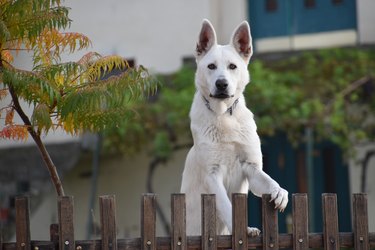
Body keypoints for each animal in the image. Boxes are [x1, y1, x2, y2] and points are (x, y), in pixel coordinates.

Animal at [181, 20, 290, 236]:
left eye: (233, 66)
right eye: (211, 66)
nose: (221, 84)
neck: (224, 116)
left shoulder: (251, 167)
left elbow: (269, 181)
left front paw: (280, 192)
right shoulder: (212, 175)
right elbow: (225, 205)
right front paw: (242, 228)